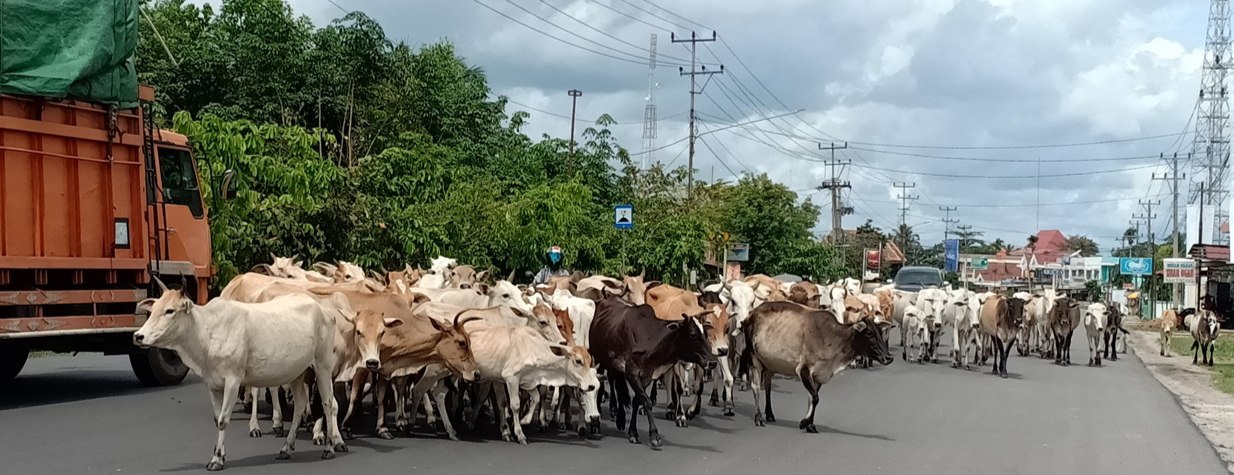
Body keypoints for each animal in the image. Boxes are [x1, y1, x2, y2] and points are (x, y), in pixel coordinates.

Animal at [133, 288, 347, 468]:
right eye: (153, 309)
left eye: (169, 311)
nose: (138, 336)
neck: (208, 332)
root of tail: (323, 308)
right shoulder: (212, 384)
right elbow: (216, 418)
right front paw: (220, 453)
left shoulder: (233, 381)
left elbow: (223, 420)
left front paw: (217, 459)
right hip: (296, 372)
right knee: (301, 405)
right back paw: (286, 448)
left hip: (323, 366)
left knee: (328, 403)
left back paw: (329, 447)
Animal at [589, 296, 720, 449]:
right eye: (692, 334)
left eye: (706, 334)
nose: (712, 362)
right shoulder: (632, 373)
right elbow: (646, 401)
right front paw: (654, 436)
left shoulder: (646, 375)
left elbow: (637, 400)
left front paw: (633, 433)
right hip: (598, 359)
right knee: (603, 387)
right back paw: (597, 423)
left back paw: (620, 419)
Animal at [735, 301, 893, 431]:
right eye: (869, 333)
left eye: (880, 332)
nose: (889, 357)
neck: (832, 337)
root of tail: (751, 314)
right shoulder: (804, 370)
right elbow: (815, 398)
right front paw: (805, 423)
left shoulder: (819, 375)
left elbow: (812, 399)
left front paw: (810, 424)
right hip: (755, 359)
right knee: (756, 388)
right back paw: (759, 418)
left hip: (770, 362)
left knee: (767, 386)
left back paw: (769, 414)